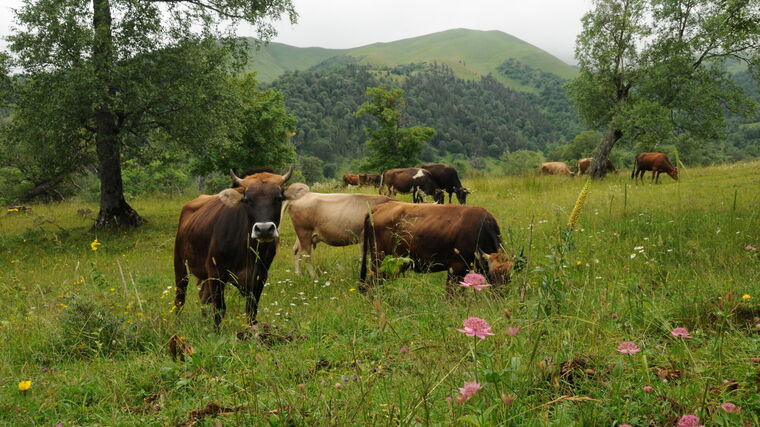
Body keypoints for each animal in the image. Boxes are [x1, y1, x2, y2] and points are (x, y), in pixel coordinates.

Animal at [174, 167, 296, 328]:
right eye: (247, 200)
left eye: (278, 198)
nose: (264, 229)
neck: (248, 251)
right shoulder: (216, 272)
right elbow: (219, 309)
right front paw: (216, 332)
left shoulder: (260, 277)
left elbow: (251, 311)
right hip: (180, 263)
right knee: (180, 297)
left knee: (203, 297)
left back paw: (203, 322)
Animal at [360, 202, 516, 292]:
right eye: (492, 274)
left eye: (509, 276)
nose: (501, 293)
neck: (479, 229)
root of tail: (378, 208)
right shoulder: (456, 268)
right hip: (379, 261)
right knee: (372, 284)